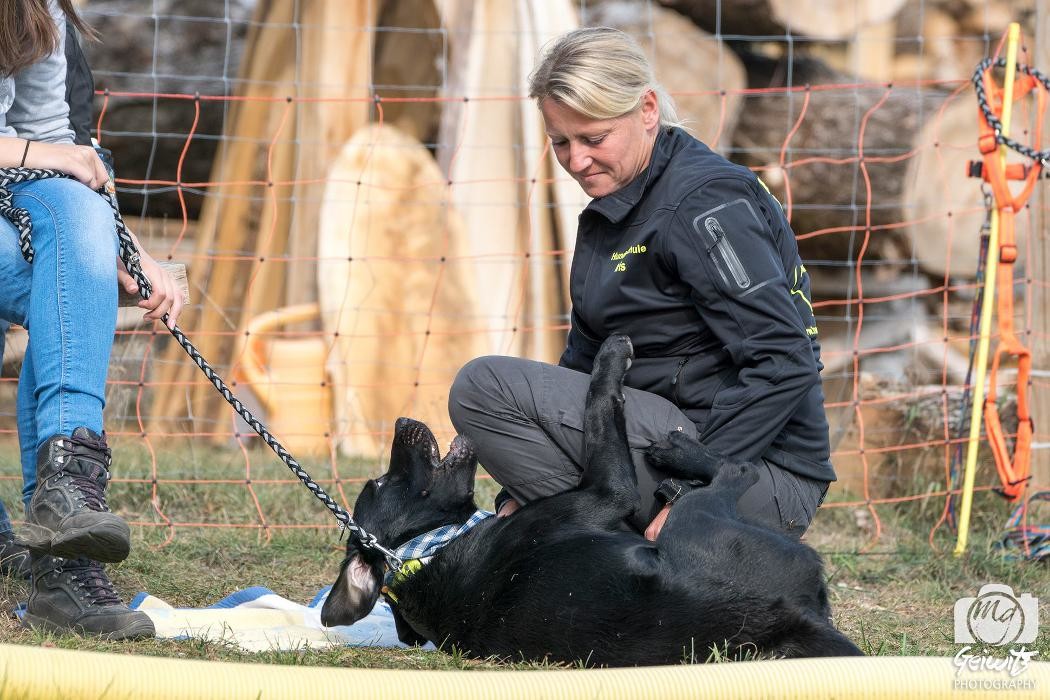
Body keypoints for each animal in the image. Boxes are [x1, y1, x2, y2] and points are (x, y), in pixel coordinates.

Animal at [321, 335, 860, 667]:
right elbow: (602, 403)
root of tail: (787, 619)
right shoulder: (606, 489)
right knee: (733, 471)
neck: (430, 549)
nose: (399, 422)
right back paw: (682, 452)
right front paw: (611, 357)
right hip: (697, 519)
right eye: (379, 484)